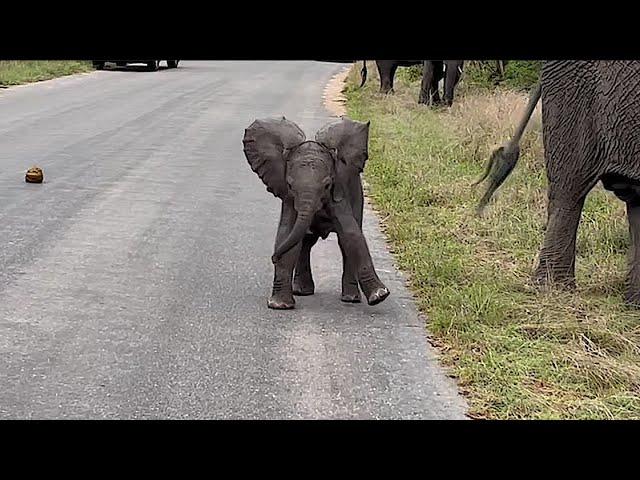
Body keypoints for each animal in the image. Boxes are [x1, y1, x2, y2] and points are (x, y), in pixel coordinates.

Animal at [240, 116, 390, 312]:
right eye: (289, 185)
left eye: (327, 185)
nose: (273, 258)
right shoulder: (290, 199)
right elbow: (287, 234)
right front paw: (279, 306)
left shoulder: (338, 191)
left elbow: (351, 235)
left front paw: (380, 296)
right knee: (305, 242)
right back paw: (301, 291)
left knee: (341, 243)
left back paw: (350, 299)